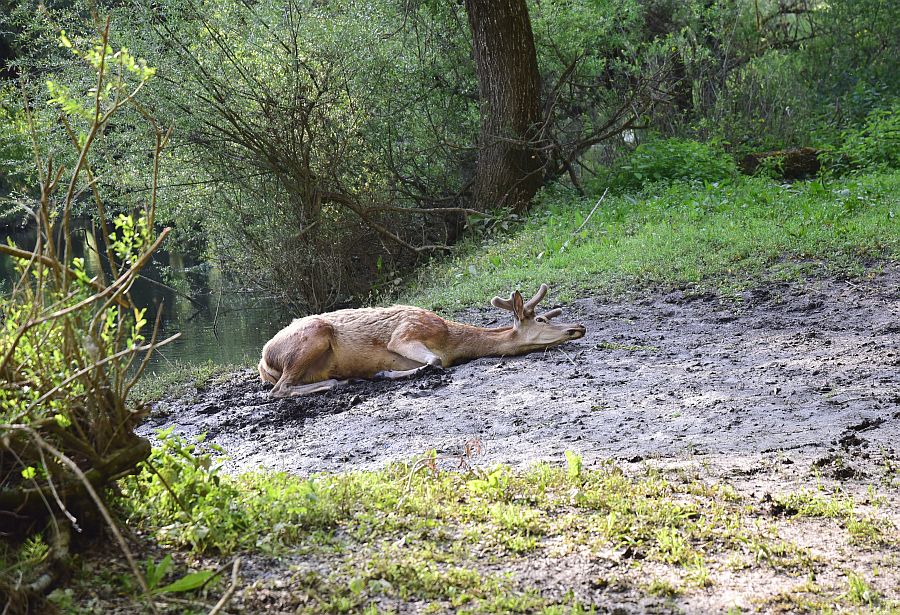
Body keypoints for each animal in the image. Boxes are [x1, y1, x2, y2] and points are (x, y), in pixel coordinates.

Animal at [256, 286, 588, 398]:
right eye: (541, 319)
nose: (579, 328)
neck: (451, 340)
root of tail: (262, 360)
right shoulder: (405, 333)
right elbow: (435, 361)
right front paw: (384, 373)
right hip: (314, 335)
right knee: (278, 390)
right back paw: (341, 382)